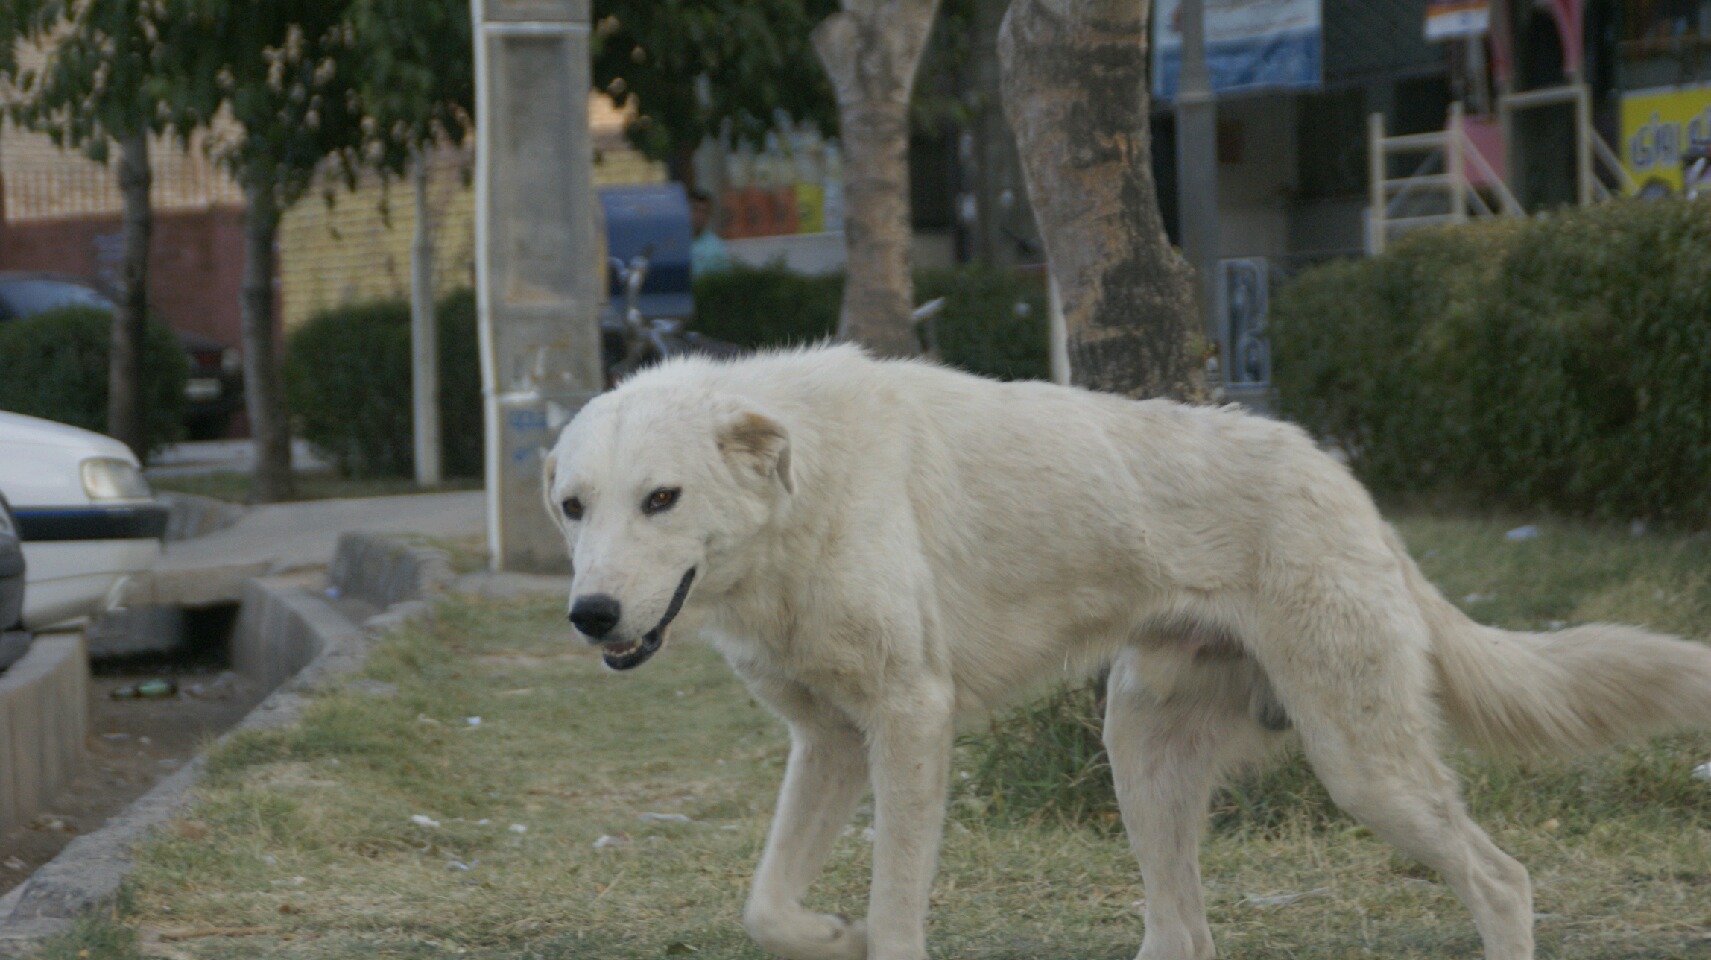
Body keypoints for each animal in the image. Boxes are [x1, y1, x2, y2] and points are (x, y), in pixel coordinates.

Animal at [544, 343, 1711, 958]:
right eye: (571, 506)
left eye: (661, 499)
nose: (590, 614)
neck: (804, 497)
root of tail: (1340, 477)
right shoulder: (830, 741)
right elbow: (767, 904)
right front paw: (827, 934)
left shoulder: (909, 721)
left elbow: (894, 907)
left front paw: (861, 932)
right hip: (1140, 759)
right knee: (1185, 935)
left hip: (1362, 768)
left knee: (1501, 877)